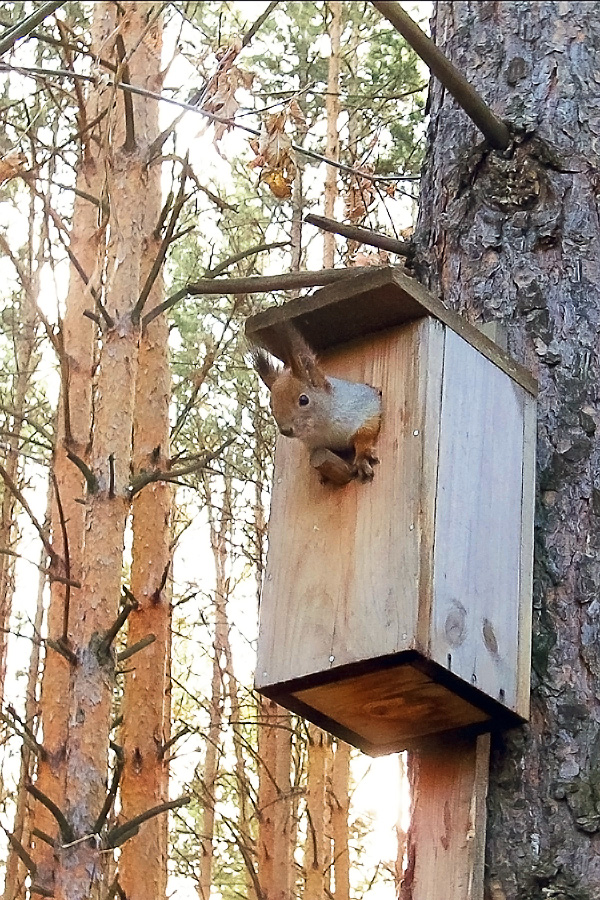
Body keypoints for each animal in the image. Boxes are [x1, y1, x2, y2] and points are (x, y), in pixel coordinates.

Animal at [251, 322, 382, 478]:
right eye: (271, 405)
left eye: (303, 400)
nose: (286, 430)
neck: (321, 429)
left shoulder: (364, 405)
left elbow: (366, 430)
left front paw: (362, 457)